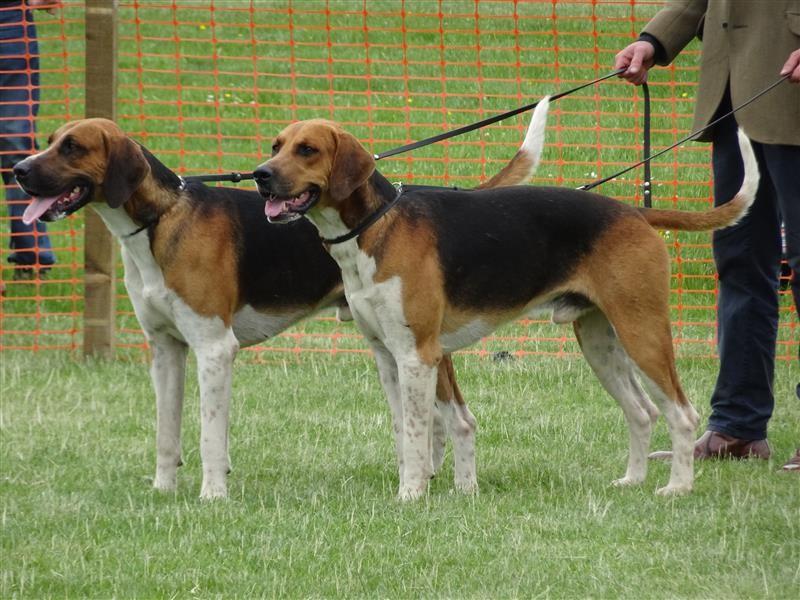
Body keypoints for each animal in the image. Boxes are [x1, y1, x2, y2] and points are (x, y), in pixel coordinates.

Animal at [12, 109, 547, 499]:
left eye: (73, 147)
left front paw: (212, 495)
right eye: (52, 138)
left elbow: (209, 433)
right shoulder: (165, 350)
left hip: (420, 348)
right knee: (435, 421)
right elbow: (167, 432)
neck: (161, 220)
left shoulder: (213, 348)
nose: (16, 170)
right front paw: (163, 491)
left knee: (447, 419)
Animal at [254, 97, 759, 499]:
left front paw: (411, 496)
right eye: (276, 146)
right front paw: (418, 484)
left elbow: (419, 431)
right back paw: (631, 481)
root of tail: (634, 211)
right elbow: (404, 431)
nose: (260, 175)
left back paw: (677, 487)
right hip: (600, 341)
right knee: (642, 411)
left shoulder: (417, 356)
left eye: (308, 149)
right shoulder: (386, 356)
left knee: (682, 413)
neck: (374, 226)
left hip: (643, 332)